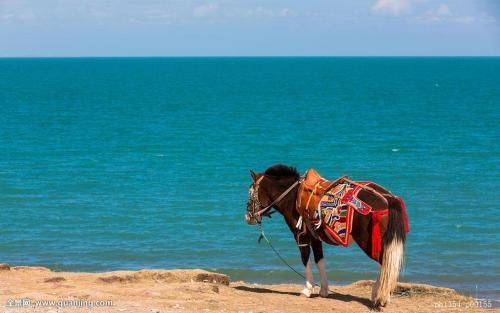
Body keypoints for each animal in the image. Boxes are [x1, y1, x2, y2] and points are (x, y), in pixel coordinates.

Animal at [244, 163, 408, 308]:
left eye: (250, 194)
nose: (247, 216)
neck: (293, 196)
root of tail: (390, 199)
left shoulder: (300, 235)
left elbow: (305, 259)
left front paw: (307, 289)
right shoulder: (315, 237)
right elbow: (319, 260)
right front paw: (323, 290)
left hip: (367, 241)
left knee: (386, 263)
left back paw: (380, 296)